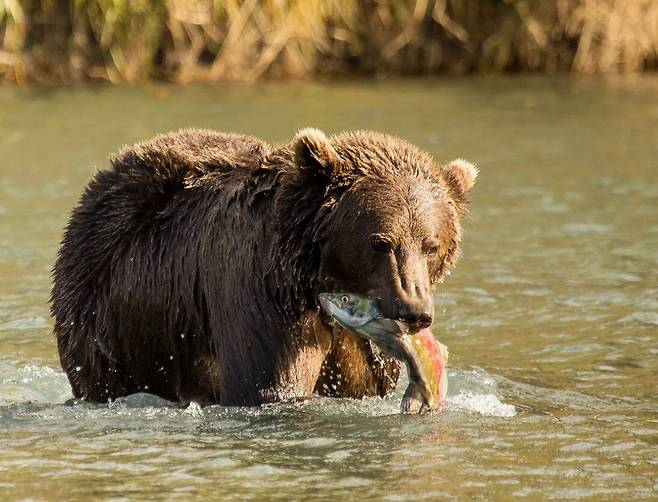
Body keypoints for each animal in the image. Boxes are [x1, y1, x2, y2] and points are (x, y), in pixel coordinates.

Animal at [50, 127, 472, 406]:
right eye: (381, 242)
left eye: (431, 246)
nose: (414, 310)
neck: (310, 274)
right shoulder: (259, 293)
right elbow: (267, 382)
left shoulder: (361, 346)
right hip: (110, 318)